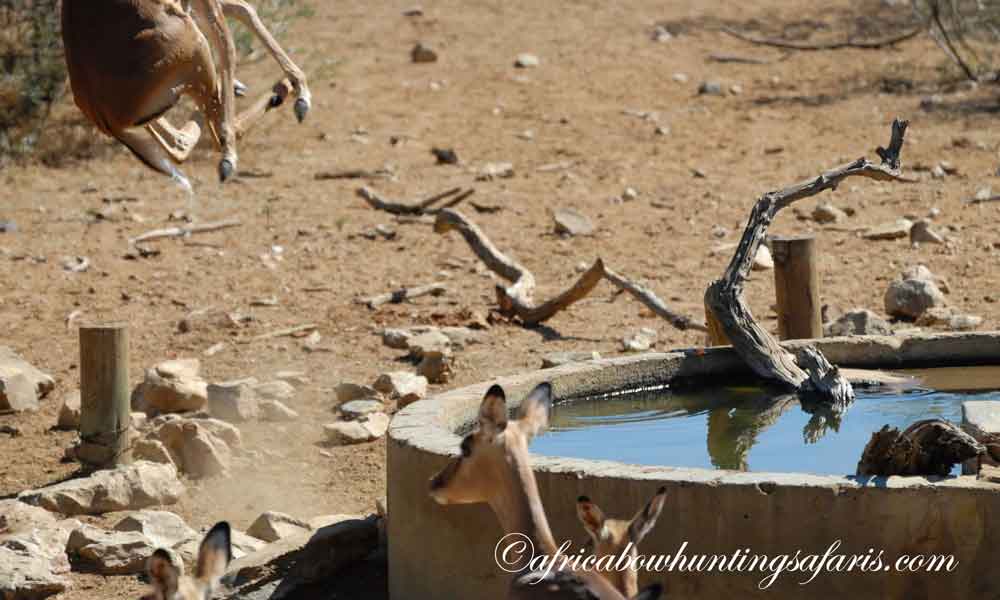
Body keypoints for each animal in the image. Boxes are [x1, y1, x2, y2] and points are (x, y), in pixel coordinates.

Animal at [61, 0, 312, 189]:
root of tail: (101, 114)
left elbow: (242, 8)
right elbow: (234, 29)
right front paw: (301, 93)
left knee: (180, 144)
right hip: (199, 52)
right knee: (222, 123)